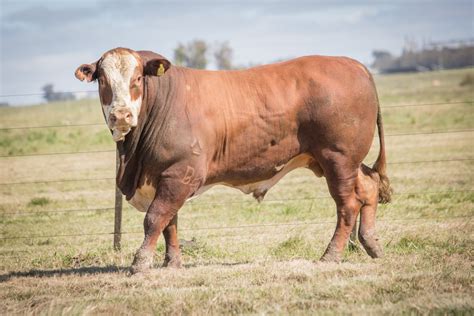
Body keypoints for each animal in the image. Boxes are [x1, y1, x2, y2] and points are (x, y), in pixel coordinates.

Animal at [75, 47, 392, 274]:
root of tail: (351, 63)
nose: (121, 115)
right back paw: (372, 243)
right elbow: (170, 222)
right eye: (103, 80)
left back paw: (331, 255)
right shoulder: (166, 175)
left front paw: (140, 262)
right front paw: (172, 262)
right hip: (338, 161)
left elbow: (155, 218)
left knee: (347, 205)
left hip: (338, 158)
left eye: (138, 78)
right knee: (368, 187)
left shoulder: (180, 172)